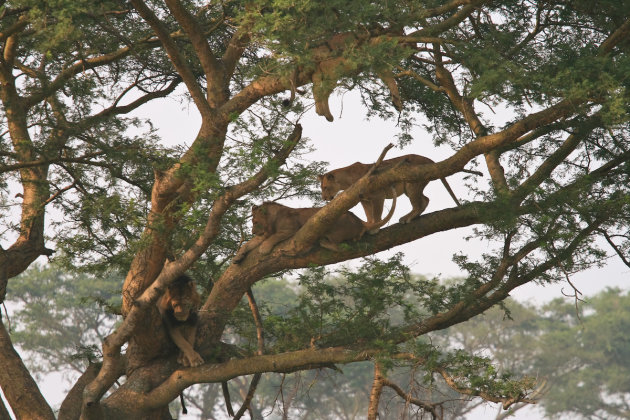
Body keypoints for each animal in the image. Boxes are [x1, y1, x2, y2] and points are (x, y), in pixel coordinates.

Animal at [235, 193, 398, 264]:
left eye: (256, 222)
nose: (253, 231)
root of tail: (360, 221)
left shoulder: (289, 230)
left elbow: (273, 237)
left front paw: (264, 248)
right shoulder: (263, 234)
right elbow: (247, 244)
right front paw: (237, 257)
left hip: (332, 222)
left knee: (340, 247)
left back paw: (323, 242)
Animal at [320, 154, 478, 226]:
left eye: (325, 187)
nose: (324, 197)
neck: (345, 181)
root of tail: (428, 160)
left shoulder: (378, 195)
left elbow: (377, 213)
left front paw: (376, 226)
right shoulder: (363, 199)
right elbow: (368, 214)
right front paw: (369, 225)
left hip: (412, 184)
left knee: (419, 203)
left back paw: (407, 218)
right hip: (411, 188)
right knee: (425, 200)